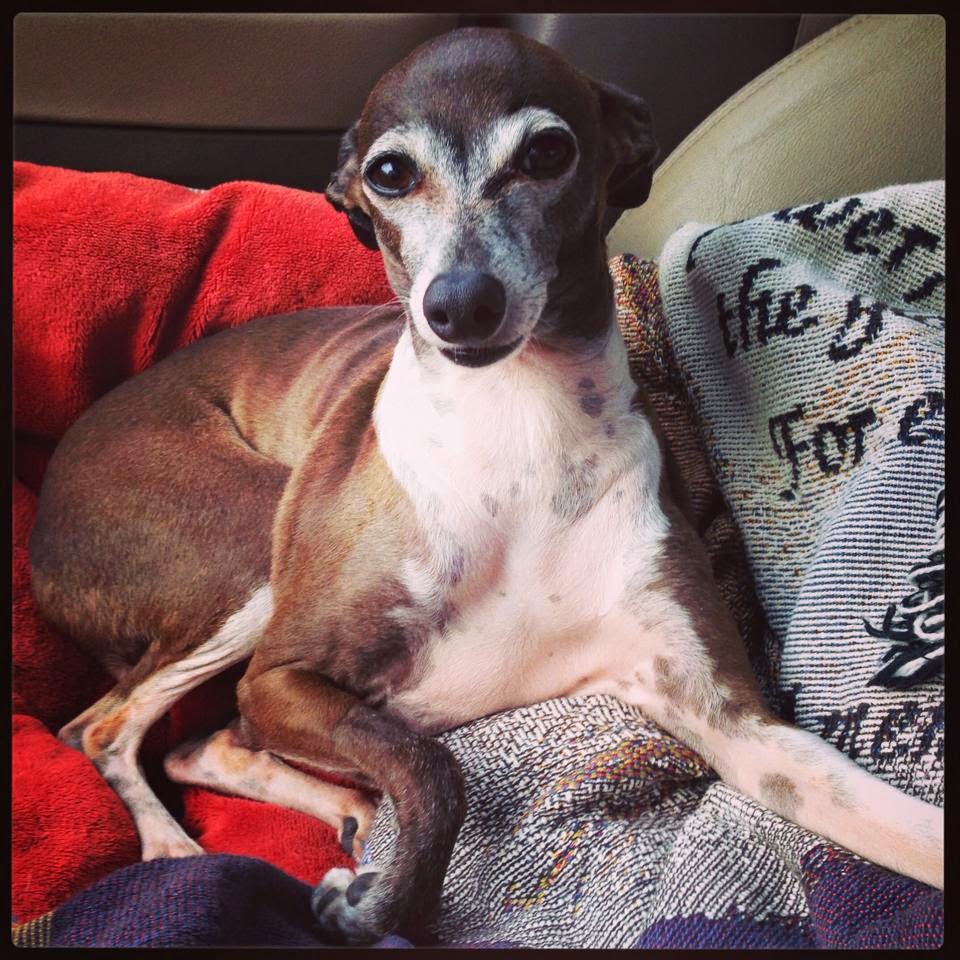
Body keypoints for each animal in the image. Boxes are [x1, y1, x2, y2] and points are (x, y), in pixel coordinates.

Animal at [29, 27, 942, 945]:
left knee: (198, 743)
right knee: (101, 728)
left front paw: (378, 891)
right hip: (249, 549)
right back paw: (174, 848)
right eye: (389, 172)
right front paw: (388, 906)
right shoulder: (283, 674)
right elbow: (434, 770)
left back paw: (340, 811)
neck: (521, 437)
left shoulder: (734, 723)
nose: (460, 305)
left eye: (547, 152)